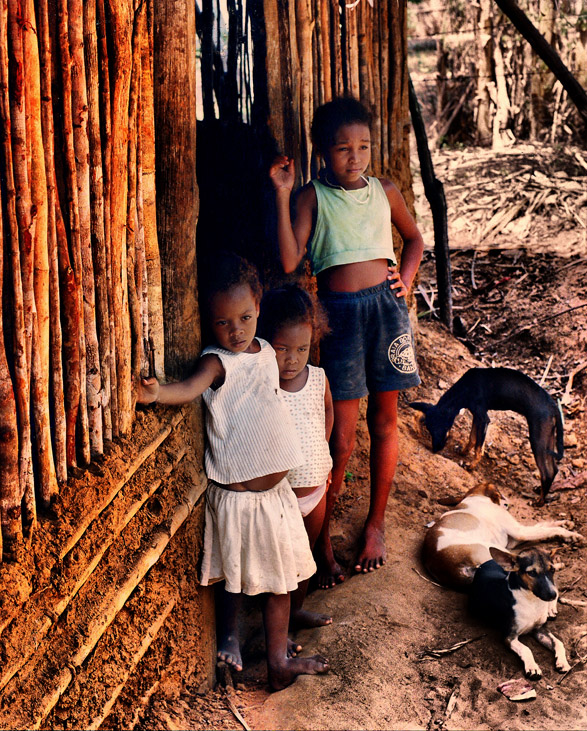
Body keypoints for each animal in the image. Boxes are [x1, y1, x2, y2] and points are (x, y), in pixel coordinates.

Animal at [414, 368, 564, 506]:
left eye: (442, 429)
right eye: (429, 429)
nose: (435, 450)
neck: (465, 387)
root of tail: (553, 406)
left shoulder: (483, 418)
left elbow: (478, 448)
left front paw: (471, 466)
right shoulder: (477, 416)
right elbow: (472, 439)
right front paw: (463, 452)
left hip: (538, 438)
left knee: (547, 472)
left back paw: (539, 502)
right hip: (547, 437)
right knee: (553, 469)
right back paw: (540, 491)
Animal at [422, 486, 584, 680]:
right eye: (500, 494)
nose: (509, 503)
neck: (474, 497)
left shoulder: (515, 538)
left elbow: (543, 524)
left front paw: (566, 524)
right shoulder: (519, 532)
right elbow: (547, 530)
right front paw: (570, 535)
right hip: (497, 551)